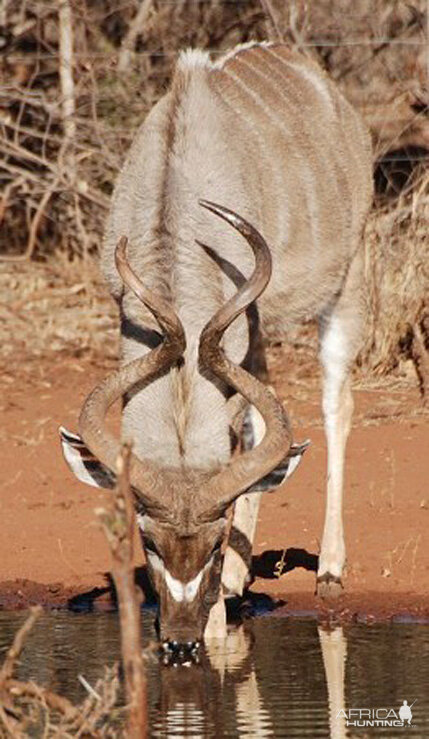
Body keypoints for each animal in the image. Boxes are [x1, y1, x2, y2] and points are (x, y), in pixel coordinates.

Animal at [59, 42, 372, 652]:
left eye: (215, 537)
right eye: (147, 540)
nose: (180, 641)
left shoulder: (238, 324)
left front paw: (223, 605)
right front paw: (230, 589)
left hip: (344, 284)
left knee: (335, 404)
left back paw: (328, 570)